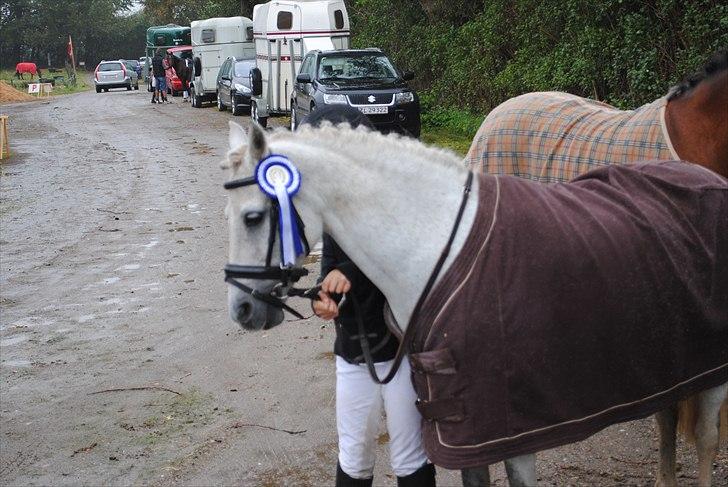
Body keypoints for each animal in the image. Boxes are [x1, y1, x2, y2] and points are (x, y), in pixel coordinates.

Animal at [223, 122, 728, 487]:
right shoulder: (465, 428)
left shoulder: (511, 427)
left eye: (253, 217)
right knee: (666, 419)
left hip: (711, 369)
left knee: (705, 440)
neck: (438, 247)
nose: (242, 311)